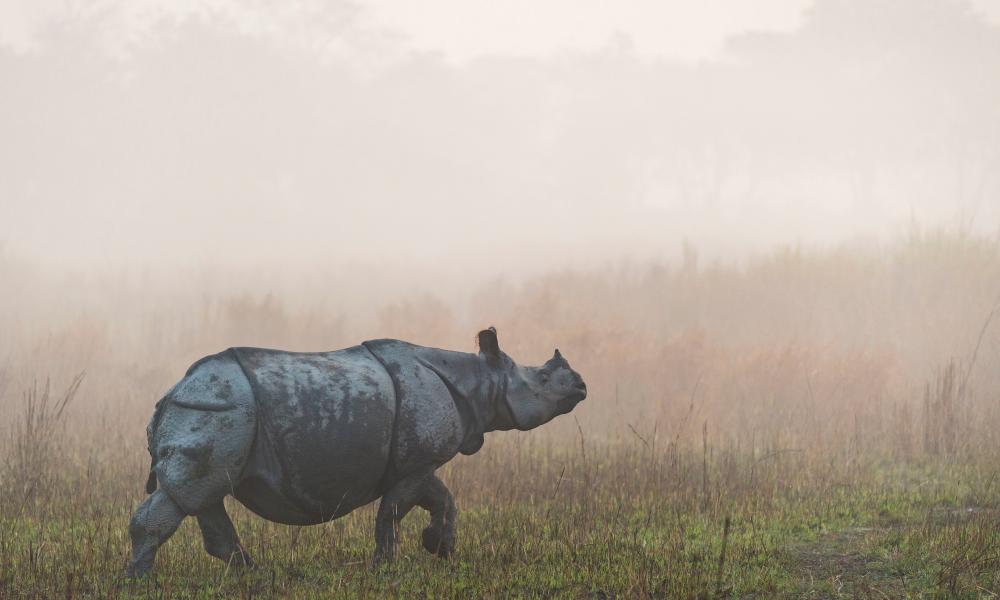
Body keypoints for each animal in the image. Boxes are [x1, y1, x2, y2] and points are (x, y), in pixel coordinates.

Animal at [129, 328, 588, 576]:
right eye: (543, 378)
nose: (582, 386)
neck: (479, 379)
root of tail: (168, 395)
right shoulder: (415, 464)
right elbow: (393, 511)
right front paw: (385, 565)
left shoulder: (416, 462)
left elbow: (442, 499)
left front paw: (439, 547)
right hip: (217, 409)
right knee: (188, 497)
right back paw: (139, 582)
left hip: (214, 413)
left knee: (205, 496)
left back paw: (253, 573)